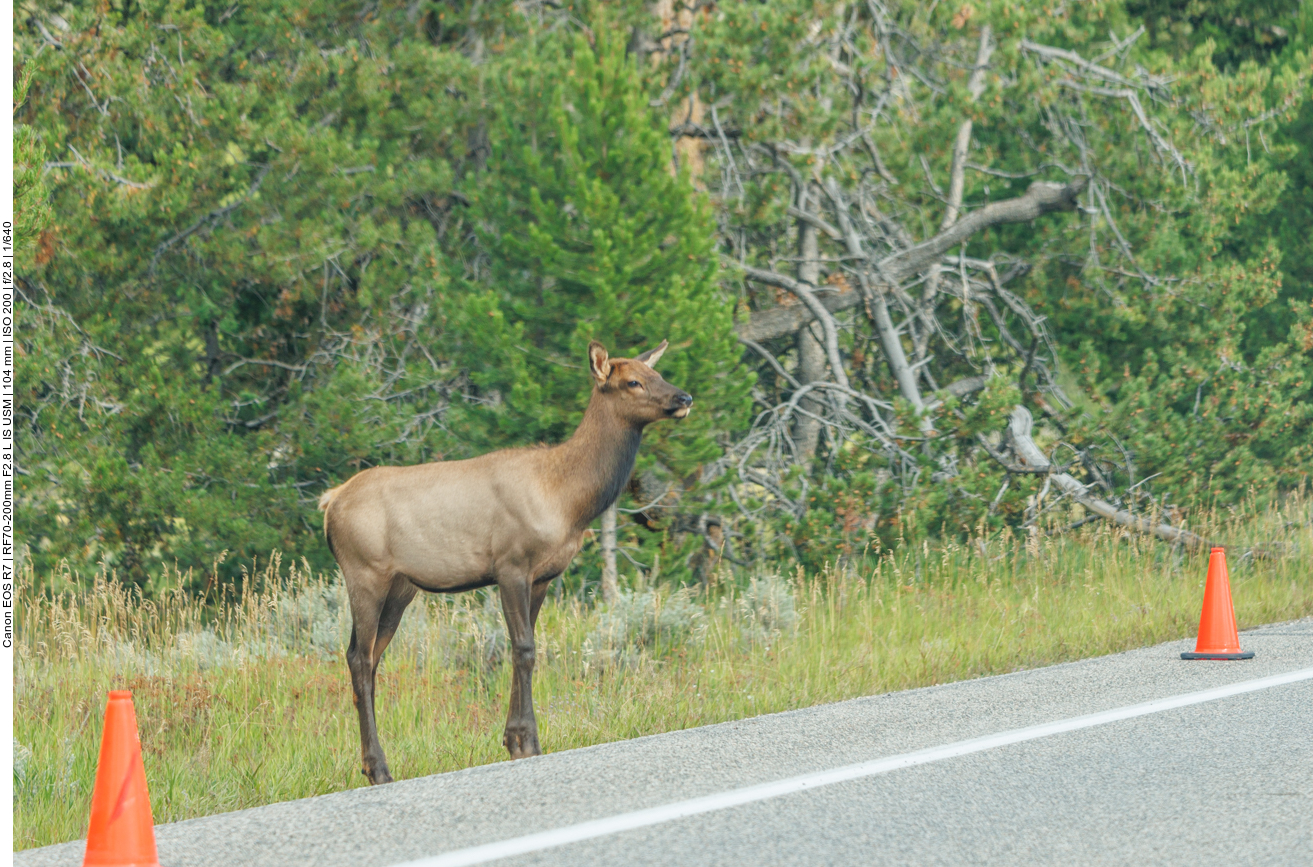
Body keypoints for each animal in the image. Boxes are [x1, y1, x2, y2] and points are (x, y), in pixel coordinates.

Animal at [319, 341, 693, 788]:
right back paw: (378, 767)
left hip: (400, 587)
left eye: (659, 374)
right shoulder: (511, 563)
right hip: (365, 573)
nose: (684, 398)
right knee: (357, 658)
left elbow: (526, 646)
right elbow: (524, 648)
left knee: (372, 657)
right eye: (633, 381)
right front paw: (528, 741)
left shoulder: (543, 575)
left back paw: (372, 764)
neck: (567, 499)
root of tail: (329, 502)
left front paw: (513, 739)